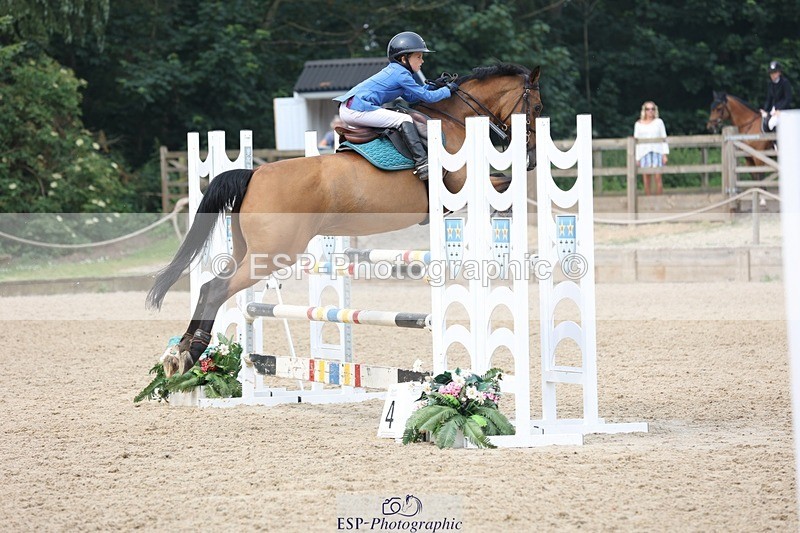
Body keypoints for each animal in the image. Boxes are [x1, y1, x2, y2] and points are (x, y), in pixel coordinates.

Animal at [147, 63, 543, 377]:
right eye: (537, 106)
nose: (532, 160)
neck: (453, 121)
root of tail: (253, 174)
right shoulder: (461, 187)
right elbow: (504, 186)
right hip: (272, 254)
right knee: (216, 289)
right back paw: (192, 352)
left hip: (249, 251)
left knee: (207, 287)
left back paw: (179, 353)